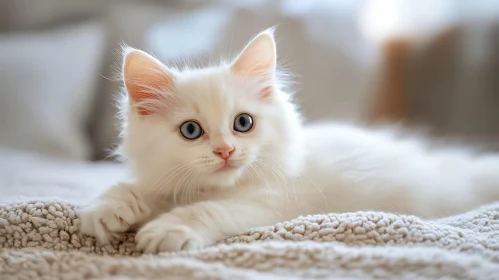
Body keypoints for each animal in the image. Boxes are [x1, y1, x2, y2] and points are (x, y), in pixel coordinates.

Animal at [78, 27, 499, 254]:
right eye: (191, 131)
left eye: (243, 123)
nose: (226, 151)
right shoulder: (167, 180)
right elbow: (130, 189)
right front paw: (108, 210)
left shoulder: (272, 203)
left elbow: (207, 211)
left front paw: (167, 230)